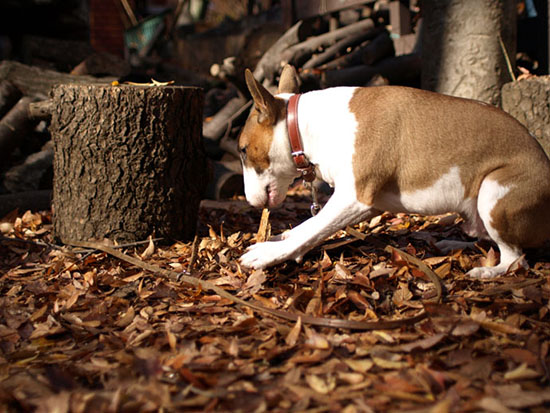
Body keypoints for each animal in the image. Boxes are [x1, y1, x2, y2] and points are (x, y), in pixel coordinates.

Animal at [239, 65, 550, 276]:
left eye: (242, 150)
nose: (250, 202)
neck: (308, 127)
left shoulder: (354, 198)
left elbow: (312, 228)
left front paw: (269, 253)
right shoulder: (363, 204)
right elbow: (307, 227)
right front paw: (280, 238)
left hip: (492, 190)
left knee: (515, 258)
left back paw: (488, 271)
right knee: (487, 238)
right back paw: (452, 245)